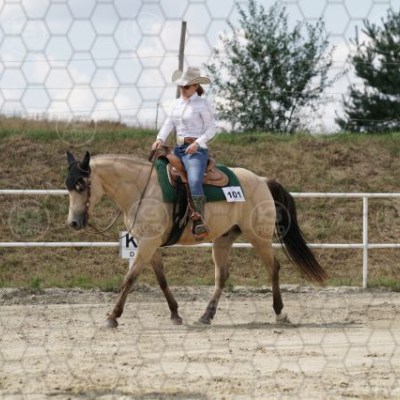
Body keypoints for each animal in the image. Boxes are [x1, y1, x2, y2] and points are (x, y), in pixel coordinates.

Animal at [65, 151, 327, 328]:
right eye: (68, 186)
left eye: (82, 184)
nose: (74, 222)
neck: (142, 189)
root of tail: (261, 180)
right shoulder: (149, 243)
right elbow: (161, 280)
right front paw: (175, 314)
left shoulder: (148, 243)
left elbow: (129, 278)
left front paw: (113, 316)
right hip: (223, 240)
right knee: (221, 276)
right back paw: (206, 316)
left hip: (259, 236)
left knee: (274, 268)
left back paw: (280, 313)